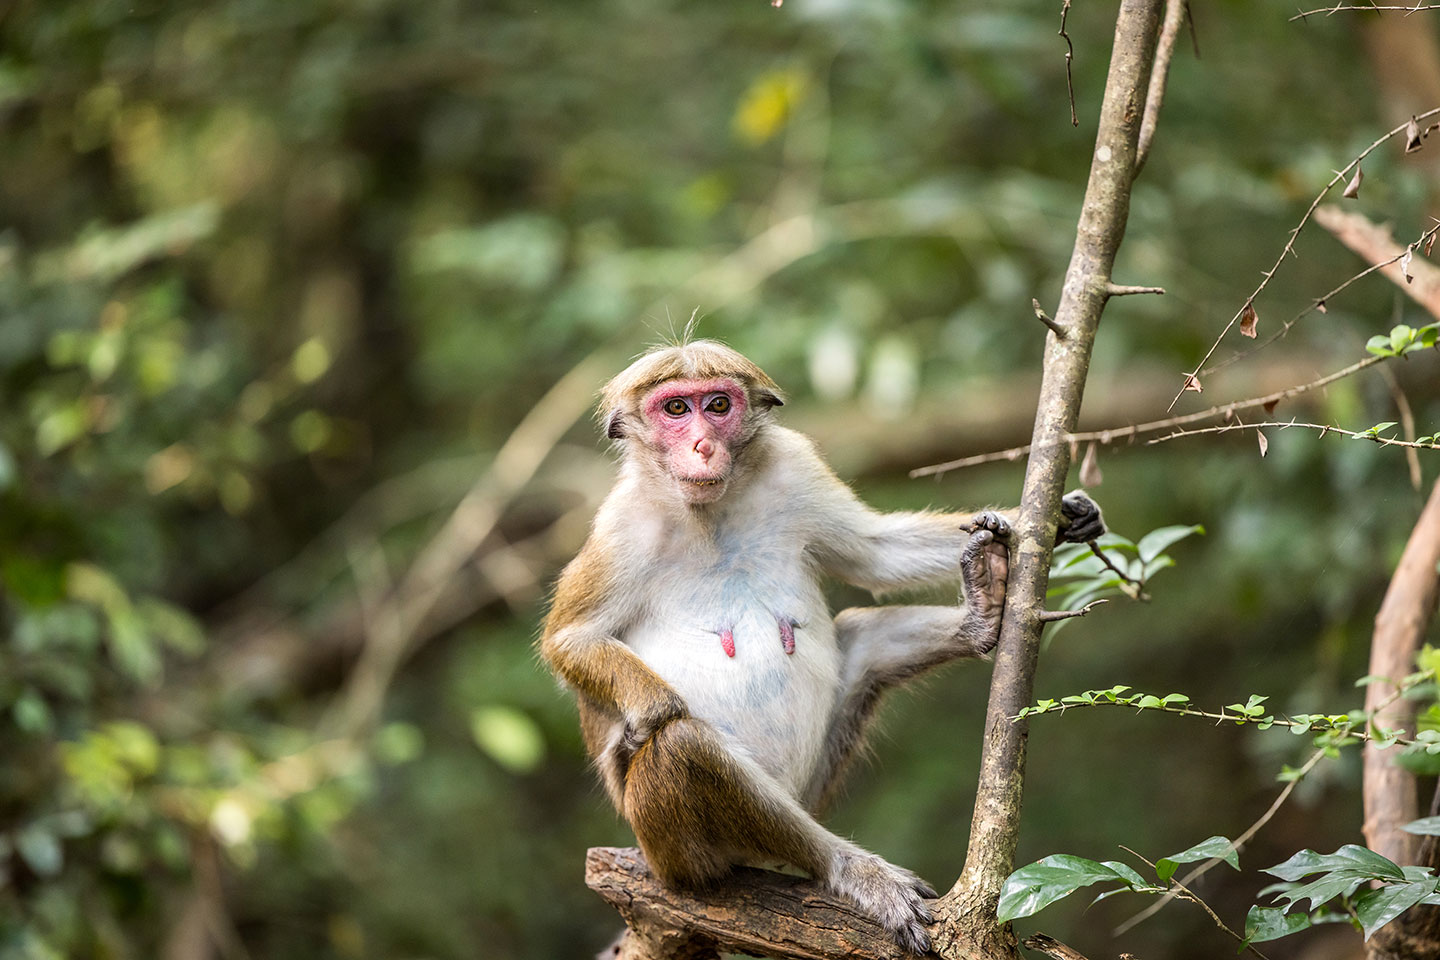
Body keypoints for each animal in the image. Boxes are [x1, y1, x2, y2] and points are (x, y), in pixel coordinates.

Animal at [540, 339, 1103, 954]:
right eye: (675, 410)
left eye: (718, 405)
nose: (702, 444)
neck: (709, 510)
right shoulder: (623, 523)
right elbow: (571, 641)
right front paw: (649, 708)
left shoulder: (794, 465)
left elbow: (873, 554)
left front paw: (1054, 517)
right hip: (674, 853)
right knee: (683, 745)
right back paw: (848, 867)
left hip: (810, 784)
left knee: (861, 636)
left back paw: (978, 613)